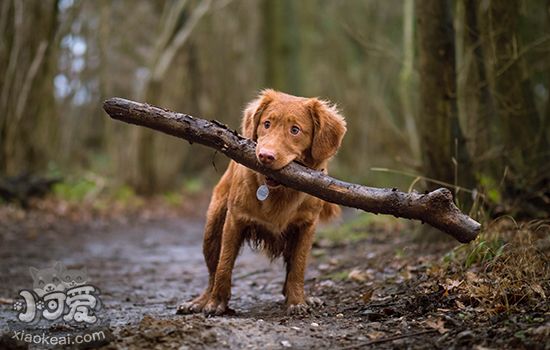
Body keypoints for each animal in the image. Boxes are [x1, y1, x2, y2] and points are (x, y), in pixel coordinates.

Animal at [179, 89, 348, 314]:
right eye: (266, 124)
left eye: (295, 130)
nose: (265, 156)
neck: (279, 191)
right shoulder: (234, 220)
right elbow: (224, 265)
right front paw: (216, 303)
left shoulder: (307, 226)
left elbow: (298, 267)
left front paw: (297, 301)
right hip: (212, 229)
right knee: (212, 271)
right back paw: (200, 301)